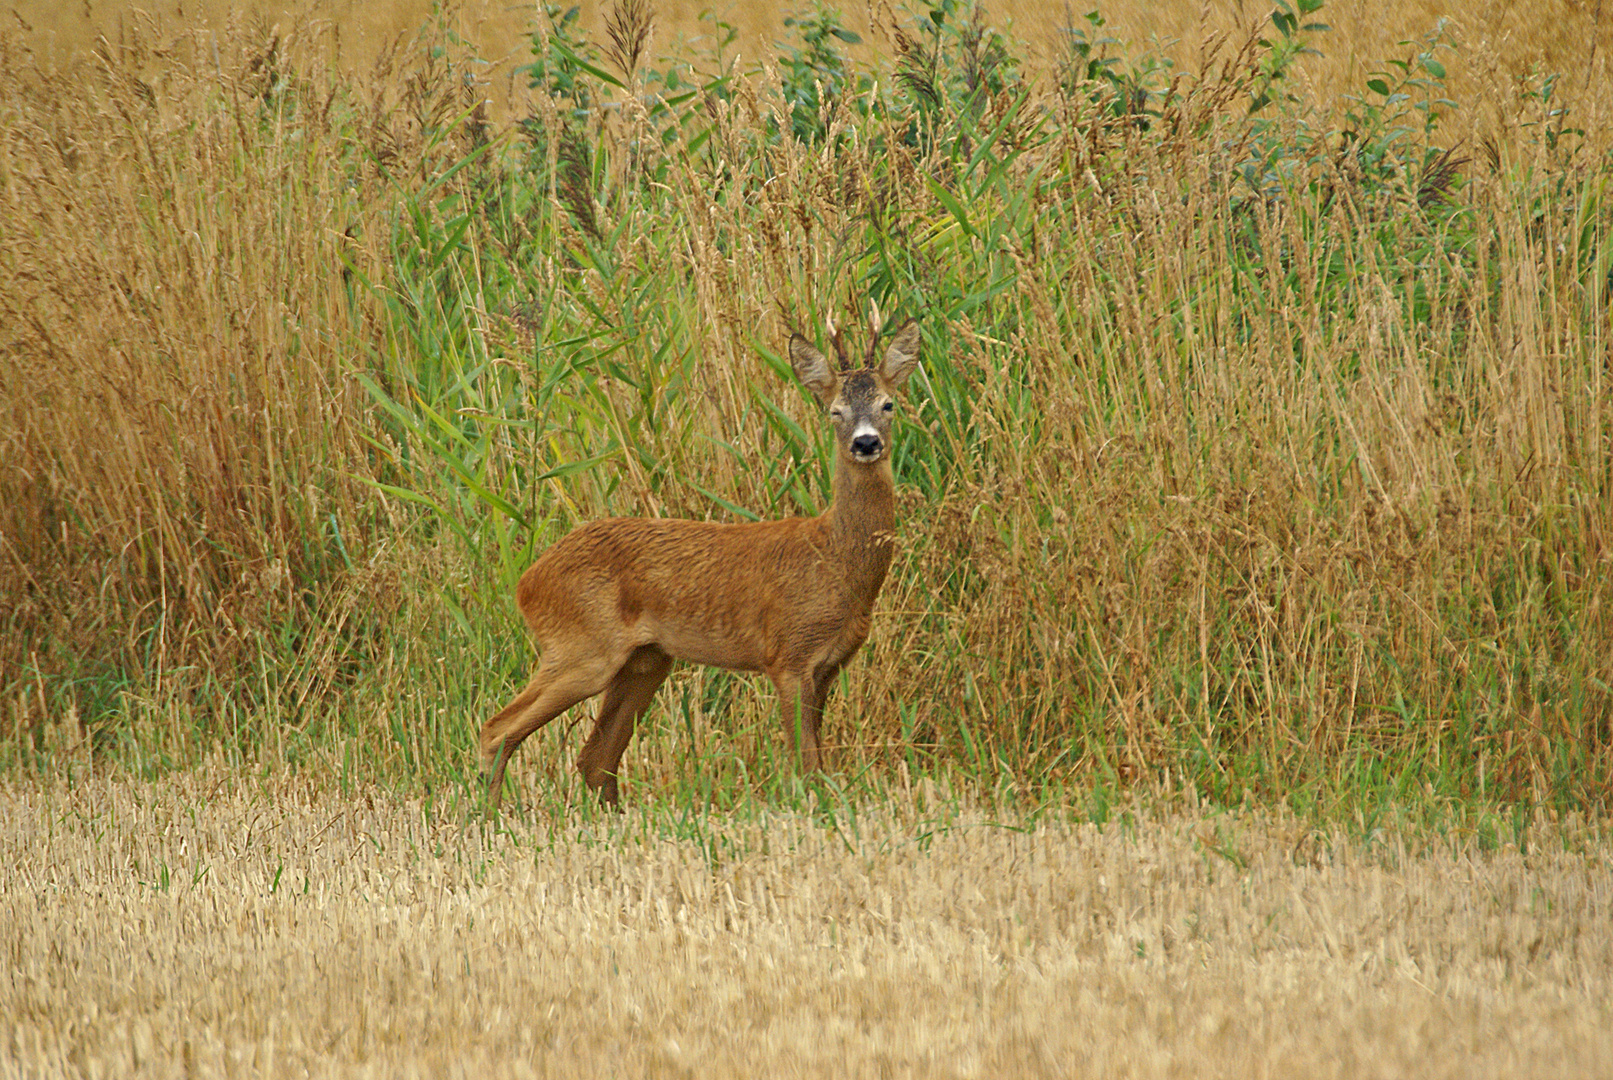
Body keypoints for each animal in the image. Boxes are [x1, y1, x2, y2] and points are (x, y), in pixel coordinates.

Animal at [477, 317, 922, 809]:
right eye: (835, 411)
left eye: (888, 404)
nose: (866, 442)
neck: (835, 559)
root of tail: (527, 580)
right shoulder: (786, 654)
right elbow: (806, 765)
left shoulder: (829, 664)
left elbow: (817, 763)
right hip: (582, 648)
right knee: (498, 730)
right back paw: (491, 817)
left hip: (645, 662)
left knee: (595, 757)